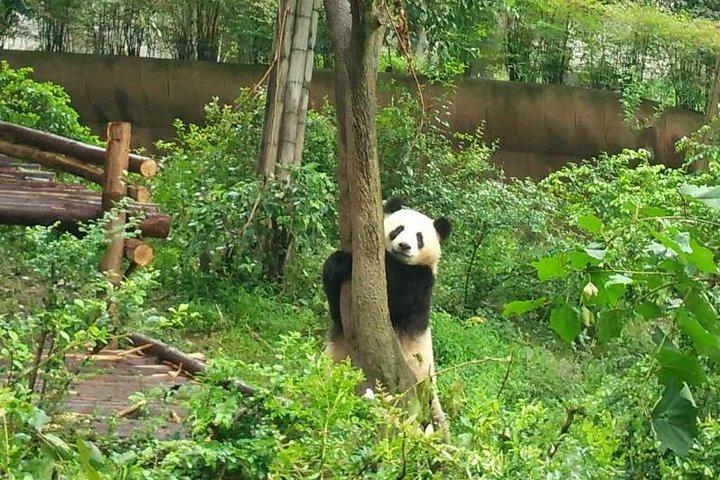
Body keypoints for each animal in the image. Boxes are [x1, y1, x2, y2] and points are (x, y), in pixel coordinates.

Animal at [322, 197, 452, 382]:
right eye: (398, 229)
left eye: (419, 237)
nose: (404, 245)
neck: (399, 261)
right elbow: (337, 310)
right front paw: (340, 264)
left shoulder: (420, 281)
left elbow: (394, 301)